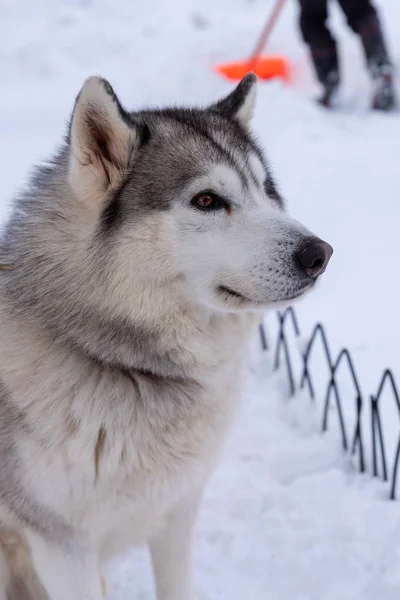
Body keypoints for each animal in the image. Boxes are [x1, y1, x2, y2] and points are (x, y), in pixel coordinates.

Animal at [0, 72, 332, 596]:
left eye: (266, 189)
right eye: (207, 200)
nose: (320, 254)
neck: (125, 366)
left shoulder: (178, 511)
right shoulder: (61, 547)